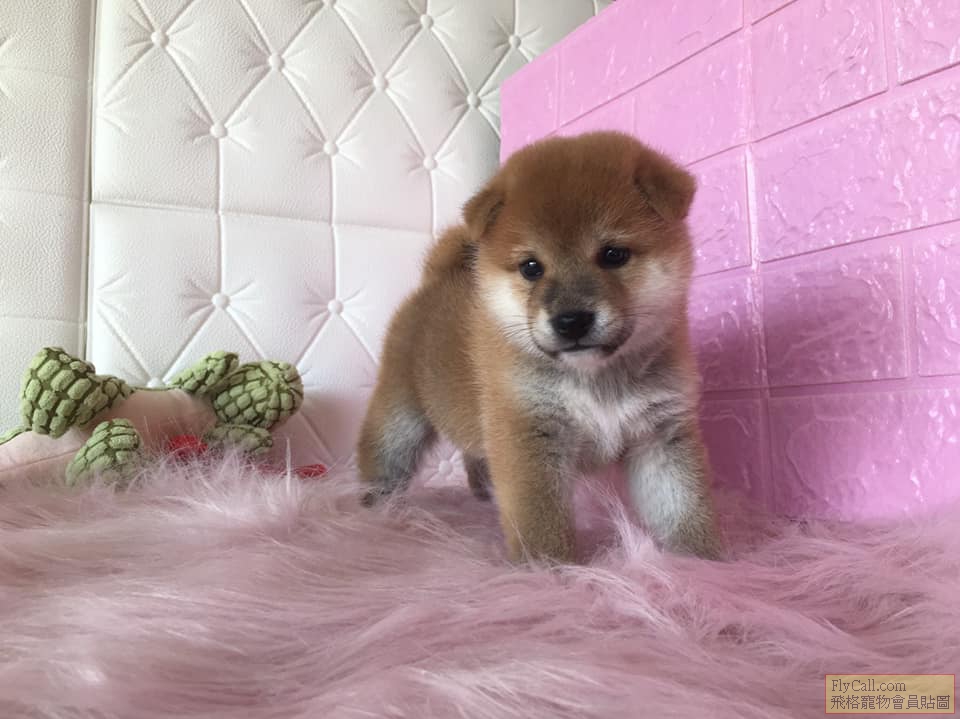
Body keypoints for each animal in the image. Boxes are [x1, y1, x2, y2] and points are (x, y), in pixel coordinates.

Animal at [357, 131, 722, 564]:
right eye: (531, 267)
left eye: (613, 254)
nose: (571, 320)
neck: (596, 378)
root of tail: (436, 282)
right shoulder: (527, 433)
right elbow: (540, 523)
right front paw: (550, 571)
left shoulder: (661, 437)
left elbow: (683, 508)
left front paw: (704, 561)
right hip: (400, 419)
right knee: (384, 458)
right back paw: (374, 508)